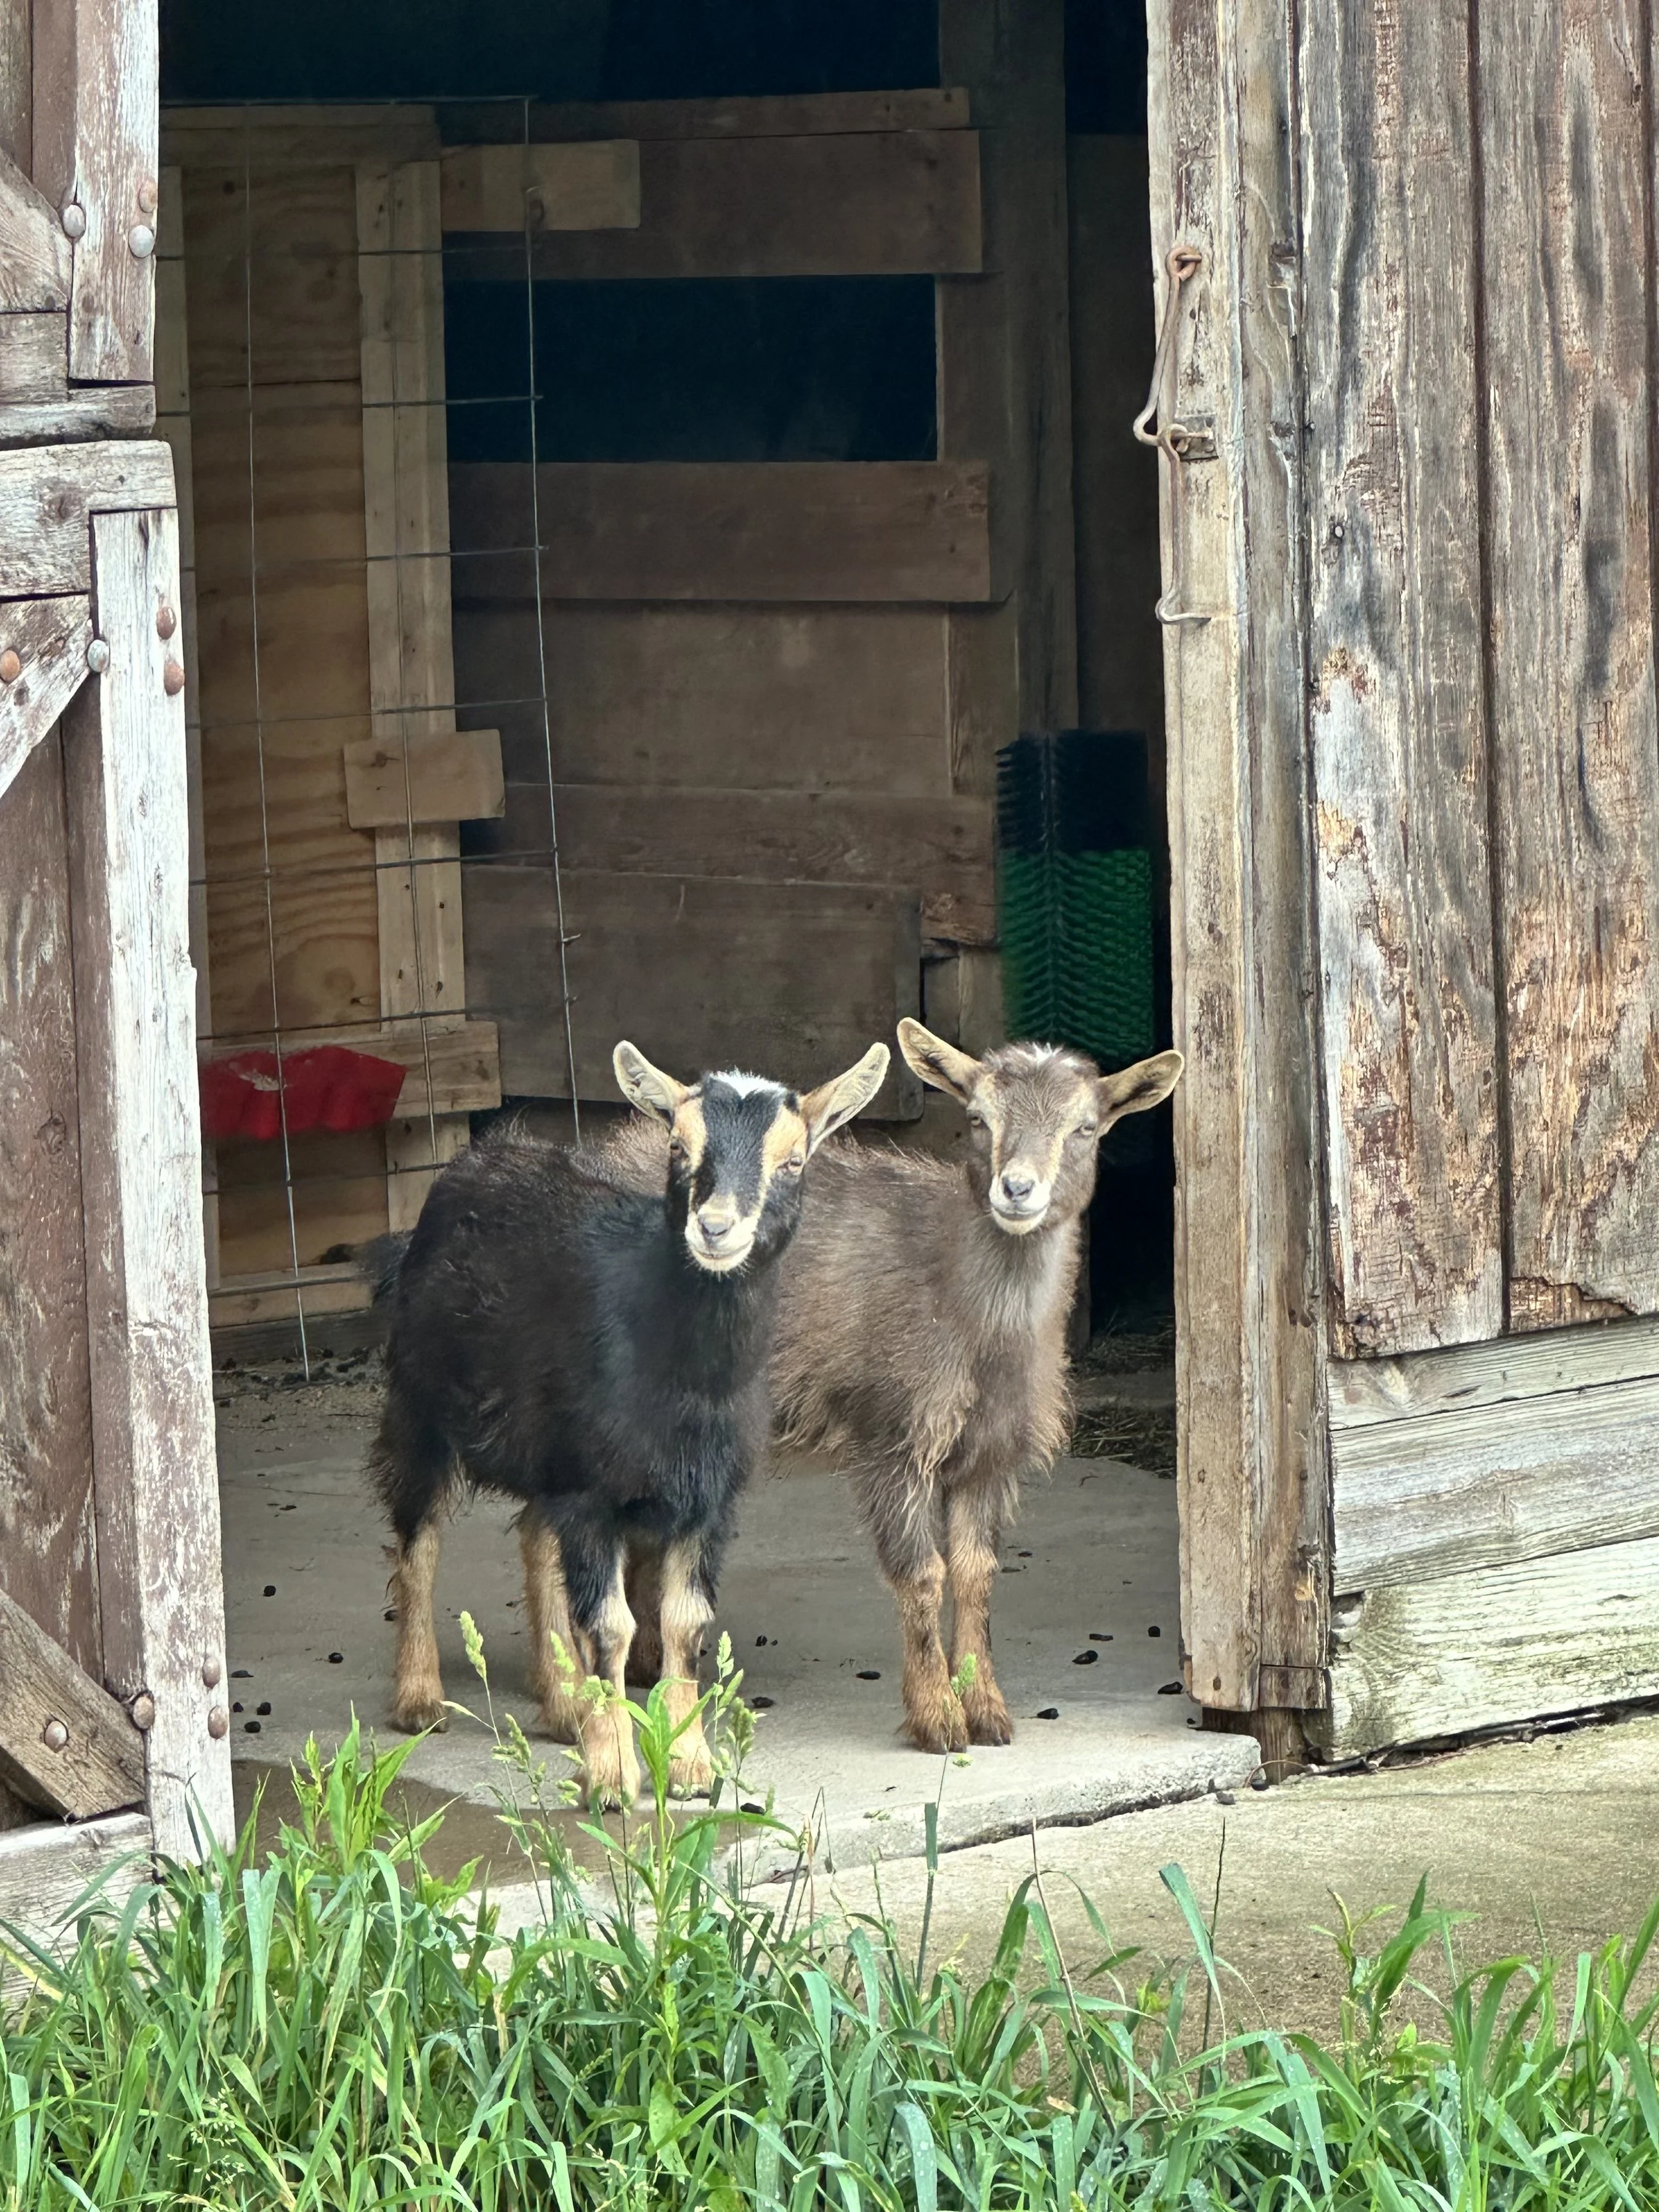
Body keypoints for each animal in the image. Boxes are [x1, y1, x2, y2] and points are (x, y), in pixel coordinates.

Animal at [368, 1038, 889, 1805]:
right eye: (677, 1145)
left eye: (794, 1160)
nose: (715, 1227)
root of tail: (480, 1158)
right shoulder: (590, 1492)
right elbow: (612, 1627)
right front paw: (613, 1776)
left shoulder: (708, 1499)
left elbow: (683, 1621)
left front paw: (691, 1766)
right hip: (421, 1403)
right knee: (418, 1536)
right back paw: (420, 1699)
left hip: (549, 1450)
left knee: (534, 1537)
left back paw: (561, 1706)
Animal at [611, 1021, 1182, 1753]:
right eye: (977, 1118)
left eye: (1085, 1127)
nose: (1016, 1189)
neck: (971, 1318)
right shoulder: (893, 1436)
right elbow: (922, 1574)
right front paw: (938, 1717)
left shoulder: (990, 1454)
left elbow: (974, 1573)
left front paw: (988, 1709)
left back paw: (648, 1660)